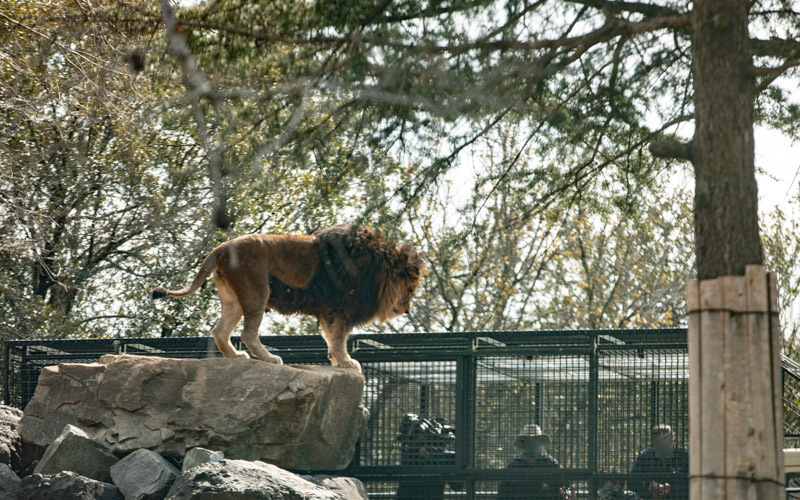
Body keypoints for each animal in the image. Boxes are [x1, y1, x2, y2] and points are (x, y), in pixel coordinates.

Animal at [152, 227, 424, 372]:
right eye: (411, 289)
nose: (408, 310)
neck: (375, 269)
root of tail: (221, 247)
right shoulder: (341, 308)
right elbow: (338, 339)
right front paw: (347, 362)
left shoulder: (331, 310)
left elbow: (330, 338)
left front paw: (337, 361)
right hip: (257, 291)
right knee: (247, 333)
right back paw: (269, 359)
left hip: (234, 299)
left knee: (219, 331)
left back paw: (235, 357)